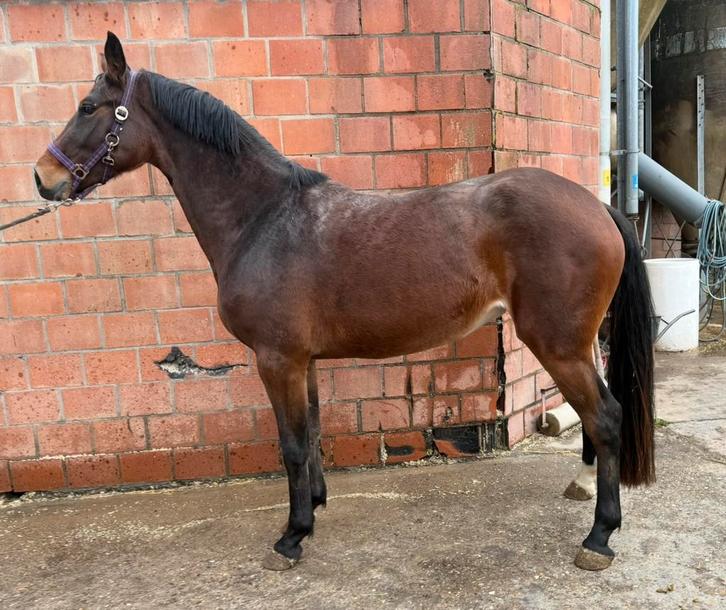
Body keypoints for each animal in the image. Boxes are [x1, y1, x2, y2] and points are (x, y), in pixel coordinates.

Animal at [34, 32, 655, 572]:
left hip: (557, 344)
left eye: (88, 106)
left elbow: (289, 445)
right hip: (578, 343)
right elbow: (309, 436)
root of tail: (596, 207)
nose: (42, 179)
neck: (264, 218)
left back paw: (599, 537)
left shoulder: (277, 359)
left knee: (605, 416)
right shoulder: (300, 361)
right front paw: (314, 508)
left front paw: (291, 537)